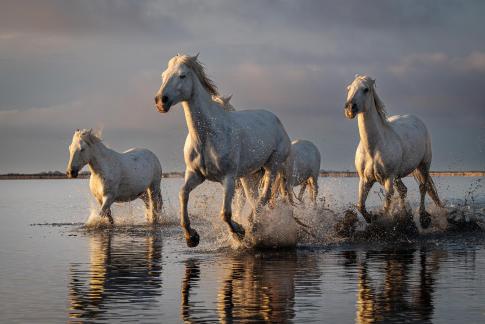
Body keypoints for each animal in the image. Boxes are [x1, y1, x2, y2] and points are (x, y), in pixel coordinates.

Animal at [154, 54, 292, 247]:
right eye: (163, 75)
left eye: (182, 75)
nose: (161, 101)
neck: (207, 136)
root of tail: (276, 121)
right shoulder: (195, 174)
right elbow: (183, 194)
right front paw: (191, 237)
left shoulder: (228, 178)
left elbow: (225, 213)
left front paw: (239, 232)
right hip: (249, 176)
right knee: (255, 199)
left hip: (272, 166)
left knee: (263, 198)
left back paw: (252, 226)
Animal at [344, 75, 442, 228]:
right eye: (349, 88)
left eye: (366, 89)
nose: (349, 109)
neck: (373, 148)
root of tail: (417, 119)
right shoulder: (364, 180)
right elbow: (360, 206)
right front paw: (371, 218)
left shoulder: (388, 179)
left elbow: (386, 206)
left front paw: (378, 218)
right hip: (399, 175)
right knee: (403, 190)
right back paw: (407, 216)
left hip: (424, 165)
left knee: (423, 187)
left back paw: (423, 219)